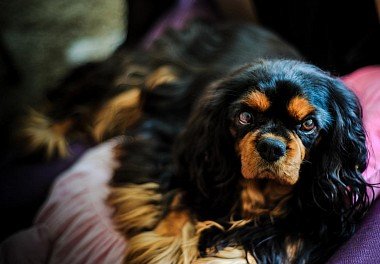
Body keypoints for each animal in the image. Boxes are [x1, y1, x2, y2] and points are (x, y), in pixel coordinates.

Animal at [20, 20, 372, 264]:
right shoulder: (170, 146)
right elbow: (180, 197)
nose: (271, 146)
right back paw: (46, 131)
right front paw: (169, 247)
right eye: (245, 117)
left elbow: (279, 242)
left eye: (308, 124)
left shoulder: (315, 223)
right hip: (147, 79)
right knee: (90, 97)